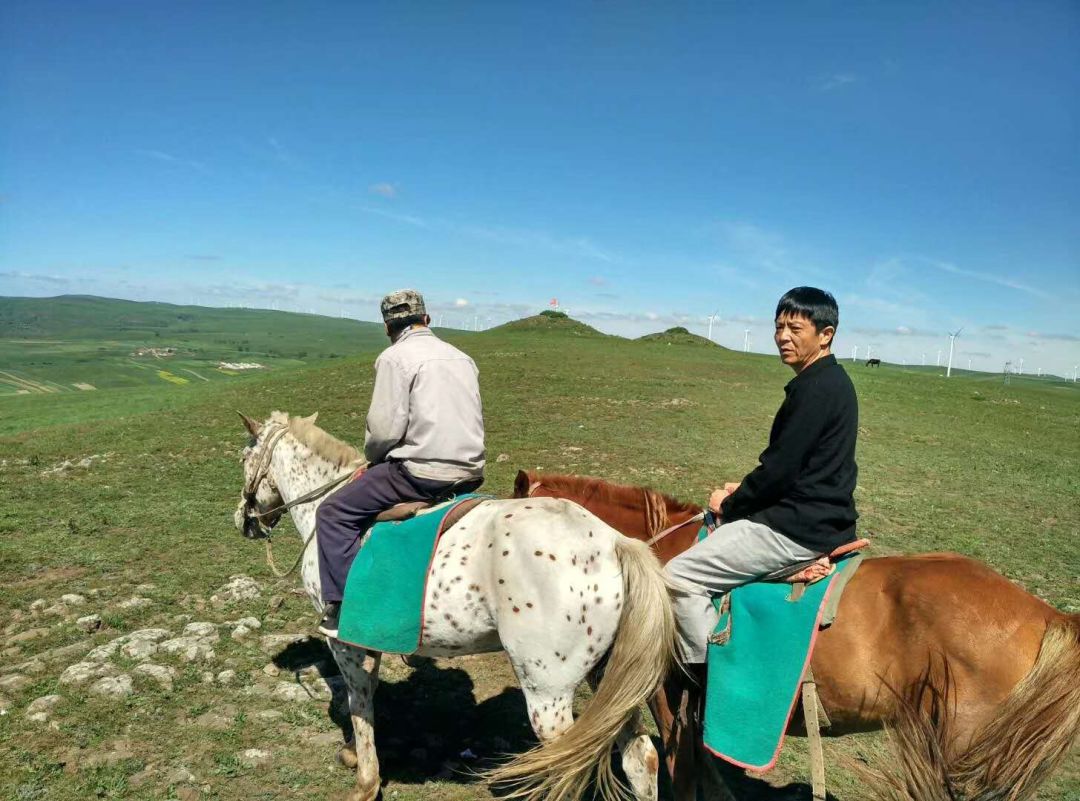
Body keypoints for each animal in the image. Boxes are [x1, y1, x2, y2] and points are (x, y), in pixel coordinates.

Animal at [234, 414, 673, 801]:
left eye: (244, 457)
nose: (244, 520)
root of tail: (614, 543)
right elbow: (368, 695)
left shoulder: (343, 641)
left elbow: (359, 700)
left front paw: (365, 781)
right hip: (607, 678)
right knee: (641, 758)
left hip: (549, 692)